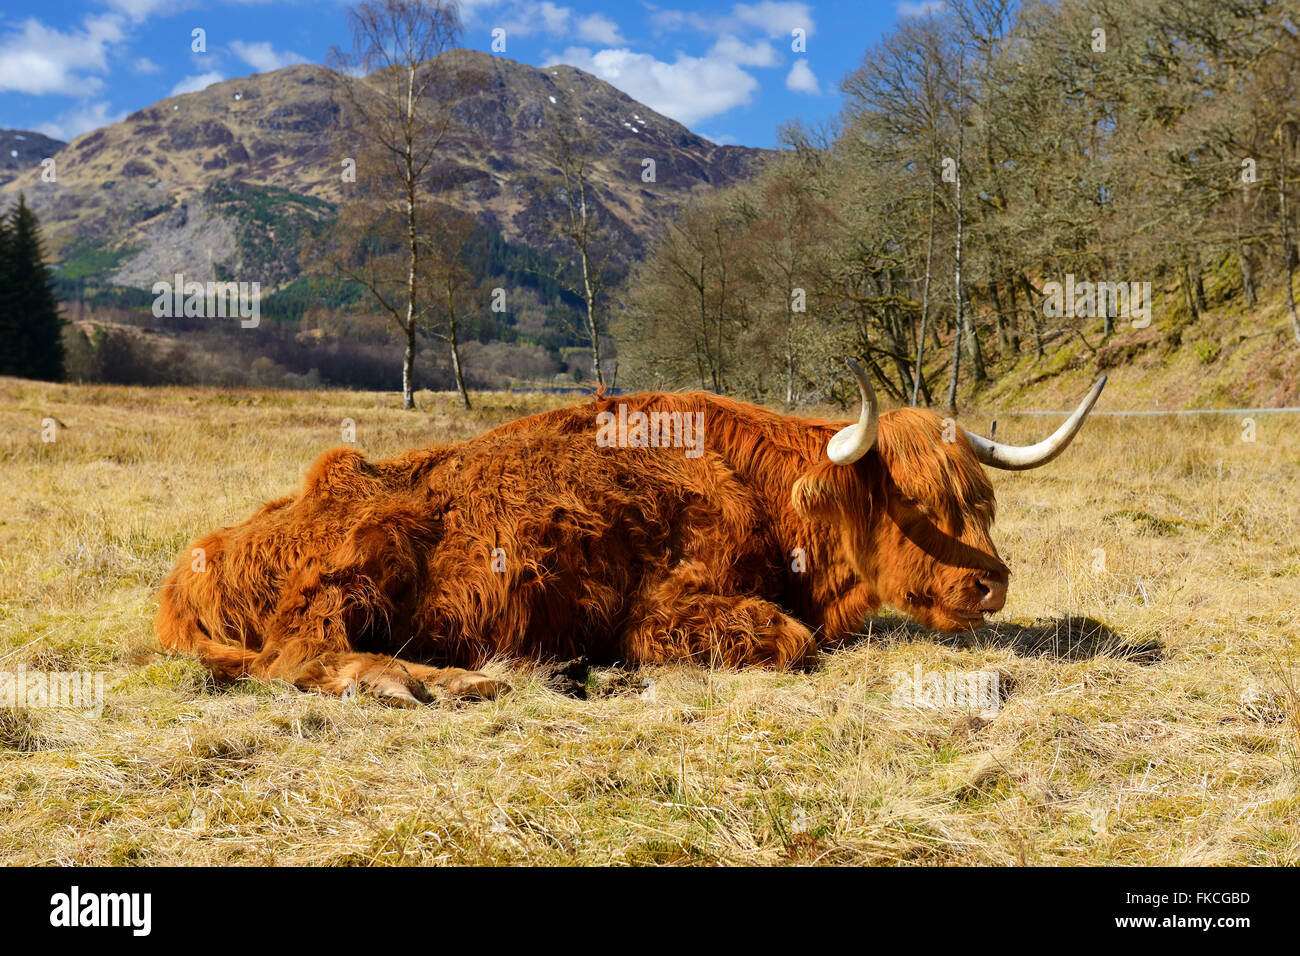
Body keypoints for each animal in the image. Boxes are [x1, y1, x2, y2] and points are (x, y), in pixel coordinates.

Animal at [156, 361, 1106, 705]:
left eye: (978, 500)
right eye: (909, 500)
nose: (991, 582)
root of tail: (193, 566)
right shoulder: (665, 609)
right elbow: (791, 642)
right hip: (363, 559)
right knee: (304, 657)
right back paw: (446, 682)